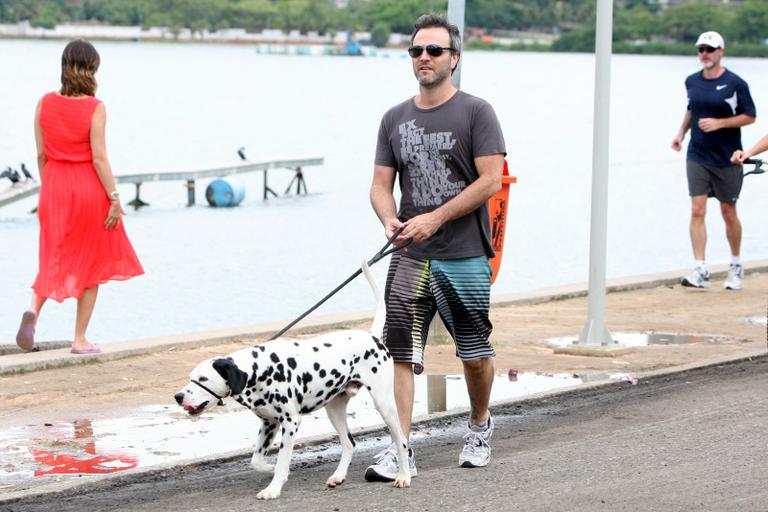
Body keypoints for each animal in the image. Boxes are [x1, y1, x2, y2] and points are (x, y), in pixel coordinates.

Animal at [175, 262, 412, 498]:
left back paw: (403, 476)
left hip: (384, 405)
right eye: (191, 378)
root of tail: (371, 337)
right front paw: (269, 468)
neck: (260, 369)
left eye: (203, 379)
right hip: (334, 410)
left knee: (401, 441)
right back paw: (338, 476)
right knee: (349, 443)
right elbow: (256, 460)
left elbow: (282, 461)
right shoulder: (269, 423)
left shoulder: (290, 423)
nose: (178, 396)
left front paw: (273, 488)